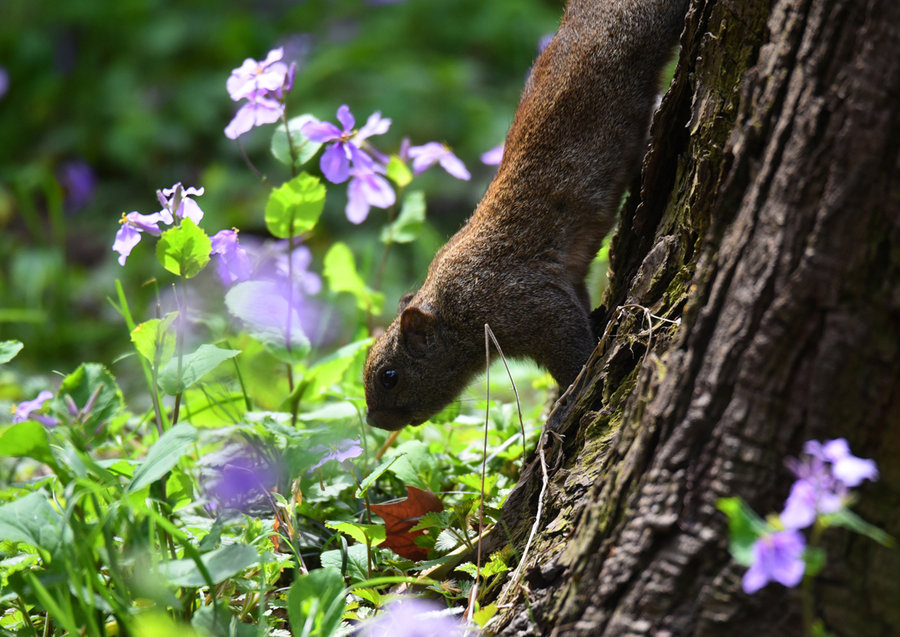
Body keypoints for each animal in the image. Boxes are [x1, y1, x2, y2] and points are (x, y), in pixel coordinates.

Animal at [362, 0, 684, 432]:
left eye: (389, 376)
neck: (451, 311)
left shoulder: (524, 305)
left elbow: (571, 346)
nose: (374, 421)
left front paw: (568, 397)